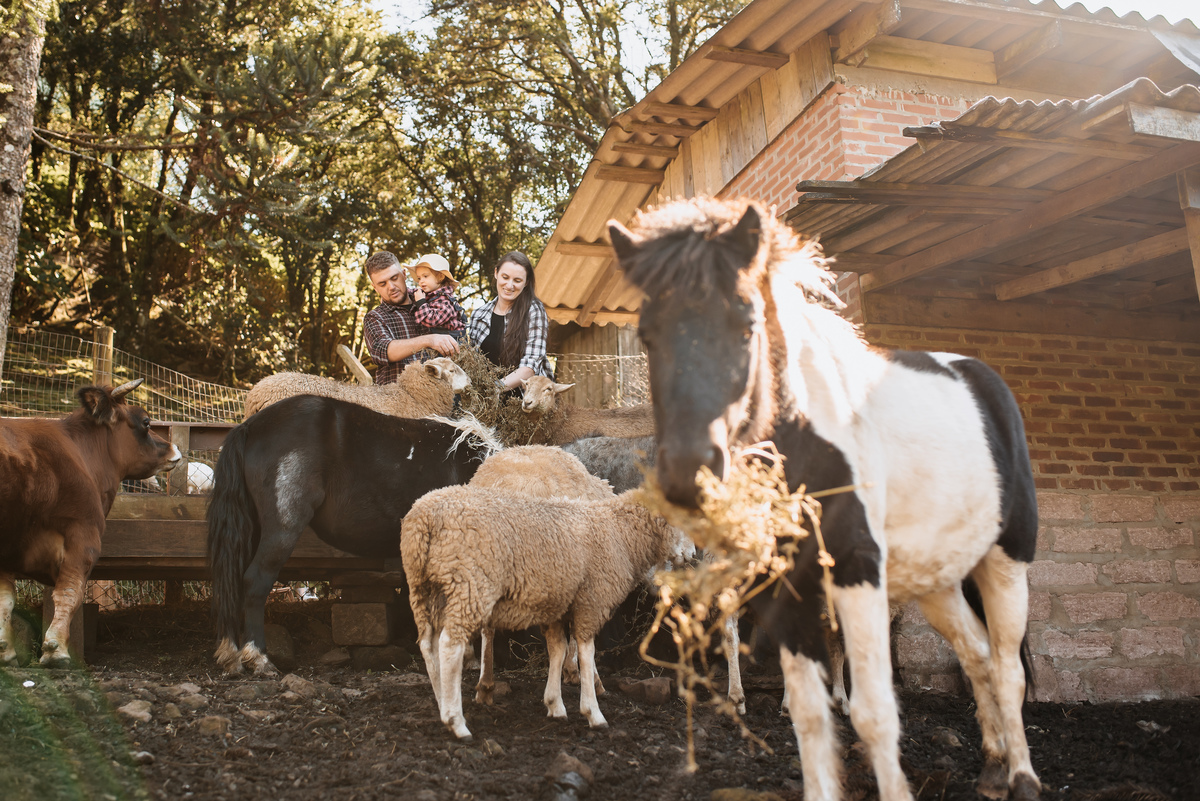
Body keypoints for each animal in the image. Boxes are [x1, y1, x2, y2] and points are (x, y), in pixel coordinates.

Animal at [0, 380, 181, 666]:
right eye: (146, 421)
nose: (174, 450)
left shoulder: (9, 544)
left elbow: (5, 599)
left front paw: (5, 651)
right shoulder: (83, 535)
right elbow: (69, 592)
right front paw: (56, 649)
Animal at [608, 197, 1040, 801]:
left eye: (747, 324)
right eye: (647, 334)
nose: (689, 474)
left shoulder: (857, 575)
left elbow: (874, 713)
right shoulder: (787, 587)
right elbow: (809, 718)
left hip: (1006, 561)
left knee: (1006, 665)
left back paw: (1022, 774)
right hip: (935, 580)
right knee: (976, 654)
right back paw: (995, 766)